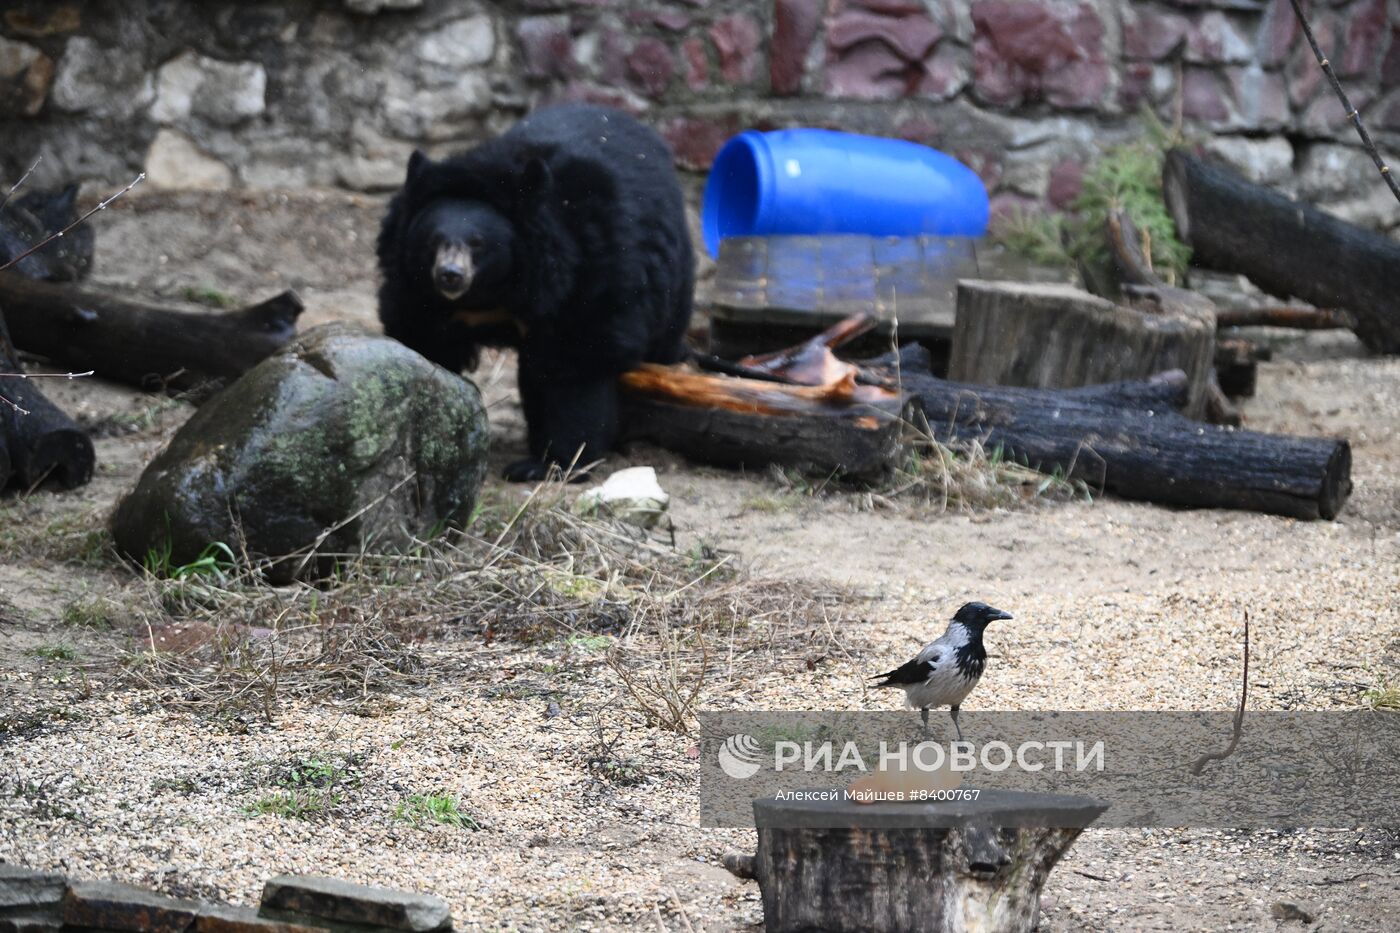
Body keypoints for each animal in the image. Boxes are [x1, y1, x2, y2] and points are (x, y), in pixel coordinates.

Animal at [378, 102, 694, 479]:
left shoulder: (588, 269)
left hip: (670, 276)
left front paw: (549, 464)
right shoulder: (414, 287)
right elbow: (422, 338)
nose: (450, 276)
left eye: (478, 244)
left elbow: (576, 364)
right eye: (432, 241)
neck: (495, 292)